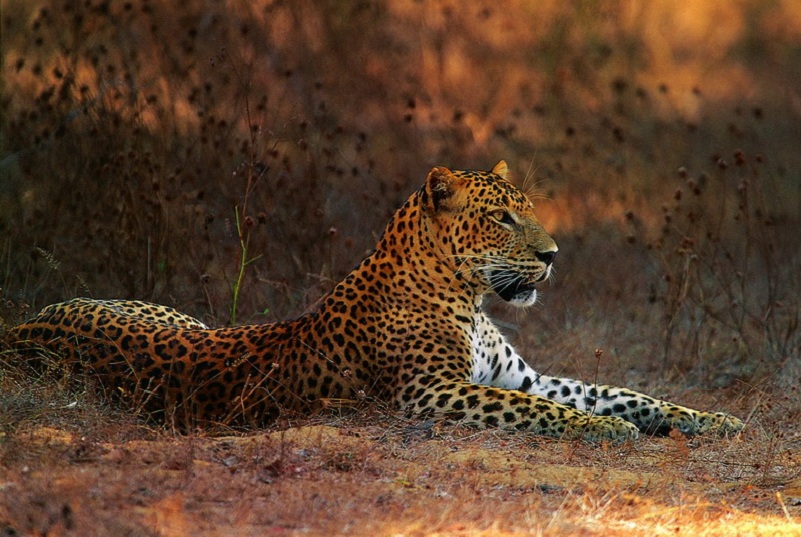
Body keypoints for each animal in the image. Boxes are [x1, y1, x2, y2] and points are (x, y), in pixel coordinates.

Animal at [4, 161, 744, 442]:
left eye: (527, 211)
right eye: (502, 218)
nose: (553, 255)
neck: (468, 298)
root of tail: (28, 325)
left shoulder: (521, 376)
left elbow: (620, 391)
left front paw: (712, 418)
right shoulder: (433, 391)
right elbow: (551, 412)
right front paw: (607, 432)